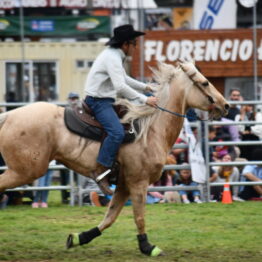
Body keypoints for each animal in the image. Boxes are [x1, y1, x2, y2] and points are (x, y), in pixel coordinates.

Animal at [0, 61, 229, 256]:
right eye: (205, 82)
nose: (225, 105)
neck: (150, 130)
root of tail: (9, 116)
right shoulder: (138, 182)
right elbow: (139, 216)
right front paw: (148, 247)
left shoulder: (123, 184)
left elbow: (110, 217)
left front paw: (78, 238)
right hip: (25, 171)